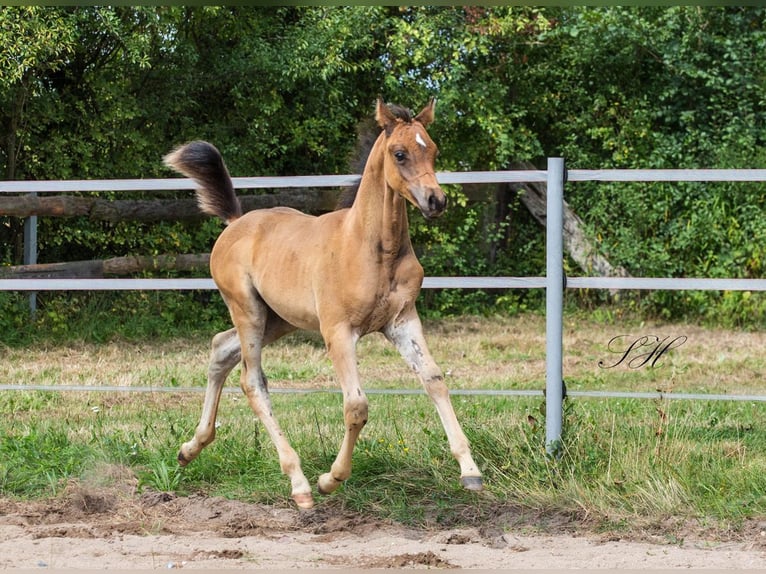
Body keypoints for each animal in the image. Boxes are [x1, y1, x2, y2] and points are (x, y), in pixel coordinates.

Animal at [165, 99, 484, 508]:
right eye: (399, 153)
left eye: (433, 149)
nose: (436, 201)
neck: (372, 248)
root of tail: (235, 222)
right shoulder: (338, 331)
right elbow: (356, 406)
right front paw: (330, 479)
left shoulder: (402, 321)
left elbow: (434, 380)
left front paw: (470, 471)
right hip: (247, 310)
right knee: (252, 380)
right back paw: (299, 483)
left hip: (278, 319)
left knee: (221, 348)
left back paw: (189, 449)